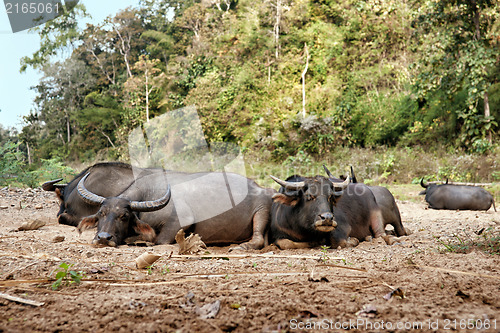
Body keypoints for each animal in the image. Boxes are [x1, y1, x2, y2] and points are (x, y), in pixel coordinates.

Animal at [76, 169, 276, 249]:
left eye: (124, 216)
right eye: (101, 214)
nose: (103, 238)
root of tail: (263, 189)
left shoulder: (180, 222)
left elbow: (158, 240)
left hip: (262, 210)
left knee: (258, 238)